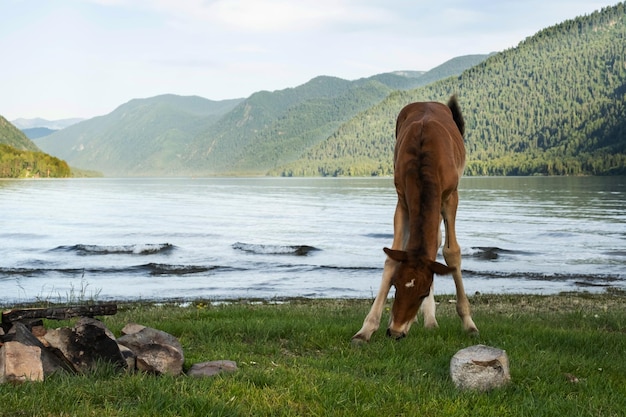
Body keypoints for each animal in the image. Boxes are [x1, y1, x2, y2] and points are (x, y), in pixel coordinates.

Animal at [352, 96, 478, 340]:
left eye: (423, 292)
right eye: (395, 285)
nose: (395, 332)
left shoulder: (450, 196)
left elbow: (452, 253)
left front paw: (468, 322)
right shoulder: (402, 199)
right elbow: (393, 255)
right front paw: (366, 328)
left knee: (438, 241)